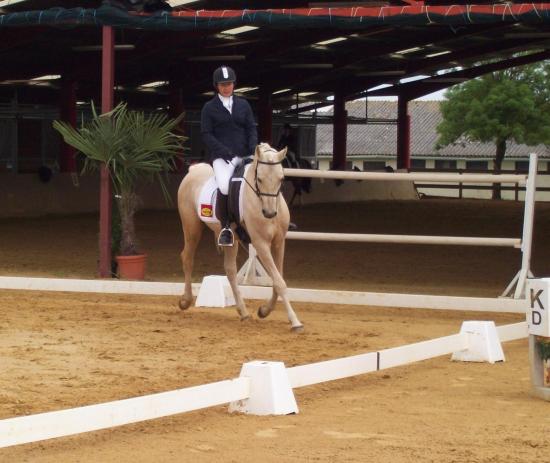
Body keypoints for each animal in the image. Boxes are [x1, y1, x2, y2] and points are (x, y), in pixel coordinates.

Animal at [178, 143, 304, 332]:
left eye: (281, 179)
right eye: (259, 179)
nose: (269, 213)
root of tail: (194, 170)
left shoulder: (279, 243)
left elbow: (277, 279)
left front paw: (264, 310)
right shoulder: (261, 244)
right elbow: (279, 282)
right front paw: (295, 321)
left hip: (232, 240)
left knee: (230, 269)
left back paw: (243, 312)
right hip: (192, 228)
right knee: (187, 257)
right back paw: (185, 301)